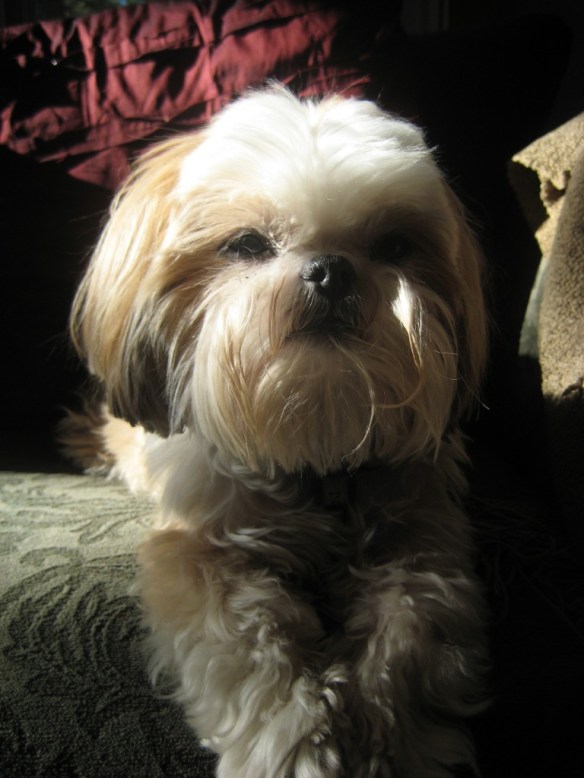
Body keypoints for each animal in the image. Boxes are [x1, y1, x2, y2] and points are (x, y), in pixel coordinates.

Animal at [64, 86, 489, 777]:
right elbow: (243, 638)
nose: (331, 269)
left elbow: (411, 633)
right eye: (246, 245)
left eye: (394, 246)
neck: (315, 441)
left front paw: (387, 733)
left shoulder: (426, 544)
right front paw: (293, 739)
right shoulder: (199, 551)